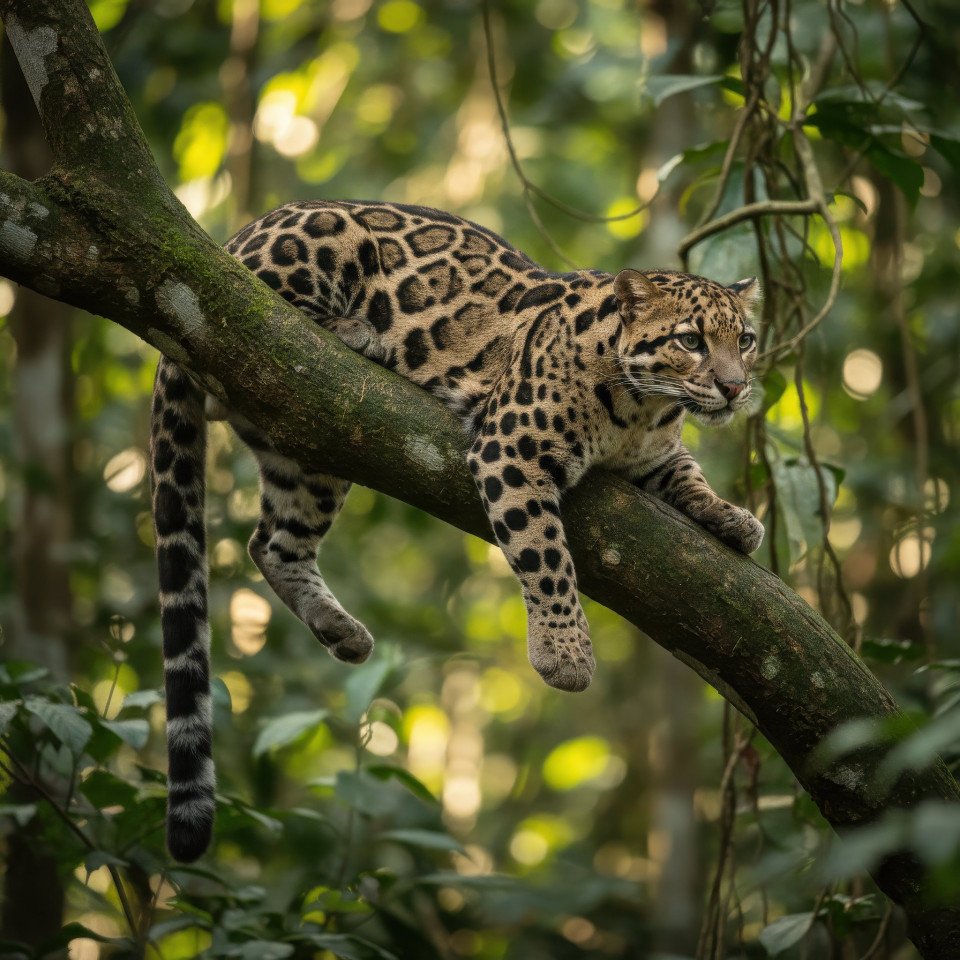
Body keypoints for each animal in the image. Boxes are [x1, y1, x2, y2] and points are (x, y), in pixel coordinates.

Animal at [150, 199, 764, 861]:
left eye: (745, 341)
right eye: (690, 341)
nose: (734, 387)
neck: (644, 408)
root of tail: (236, 236)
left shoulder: (656, 456)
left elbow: (690, 474)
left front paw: (733, 518)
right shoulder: (511, 447)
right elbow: (546, 556)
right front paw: (564, 653)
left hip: (309, 441)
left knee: (273, 543)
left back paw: (342, 631)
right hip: (299, 276)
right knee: (249, 319)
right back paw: (354, 330)